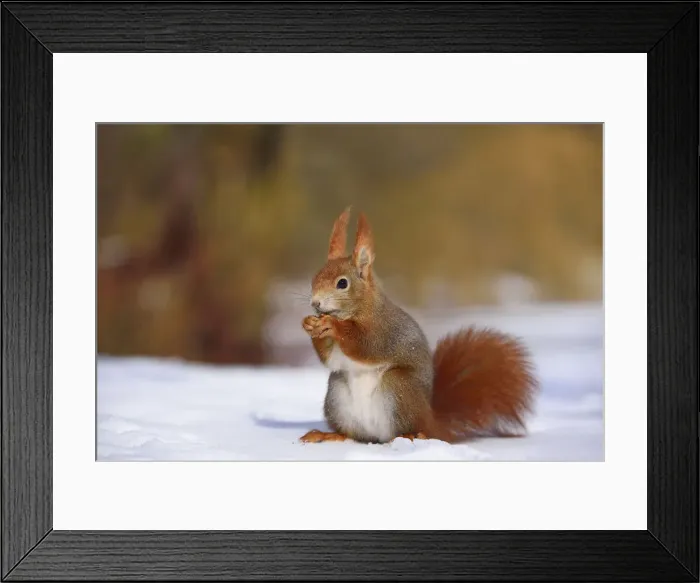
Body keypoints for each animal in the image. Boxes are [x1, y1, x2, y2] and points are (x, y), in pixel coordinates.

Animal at [300, 207, 538, 444]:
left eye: (342, 283)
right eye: (314, 278)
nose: (315, 303)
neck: (358, 310)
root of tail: (431, 420)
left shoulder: (384, 329)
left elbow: (366, 345)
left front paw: (332, 325)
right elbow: (331, 359)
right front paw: (310, 325)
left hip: (398, 388)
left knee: (407, 428)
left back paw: (411, 435)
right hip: (337, 393)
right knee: (351, 434)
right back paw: (328, 434)